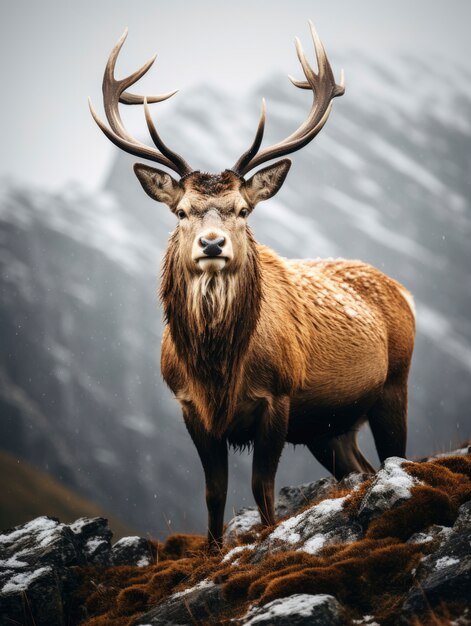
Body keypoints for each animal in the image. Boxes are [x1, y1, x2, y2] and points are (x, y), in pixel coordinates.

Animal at [89, 23, 416, 544]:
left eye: (243, 209)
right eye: (181, 212)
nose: (212, 243)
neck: (218, 372)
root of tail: (403, 291)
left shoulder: (278, 397)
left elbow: (263, 490)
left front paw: (268, 537)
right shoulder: (190, 408)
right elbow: (214, 494)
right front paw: (213, 548)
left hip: (394, 384)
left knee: (394, 458)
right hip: (330, 425)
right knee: (360, 468)